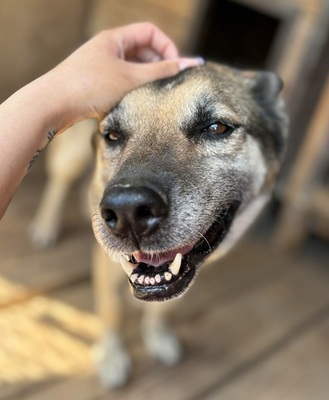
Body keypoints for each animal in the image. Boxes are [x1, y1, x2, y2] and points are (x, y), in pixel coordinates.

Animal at [30, 62, 288, 388]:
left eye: (216, 127)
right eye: (112, 135)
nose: (127, 211)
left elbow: (166, 307)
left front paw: (157, 335)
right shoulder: (105, 263)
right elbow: (112, 312)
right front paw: (111, 356)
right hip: (71, 155)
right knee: (58, 182)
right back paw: (45, 225)